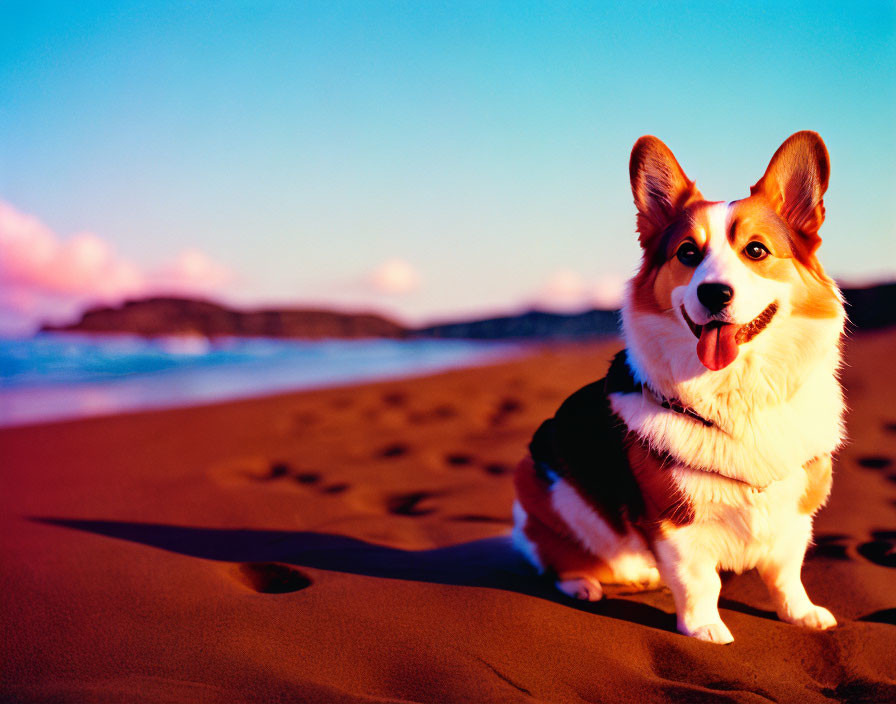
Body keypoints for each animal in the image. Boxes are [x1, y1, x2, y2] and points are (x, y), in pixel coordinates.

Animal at [516, 132, 844, 644]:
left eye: (756, 251)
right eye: (688, 253)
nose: (714, 293)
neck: (738, 393)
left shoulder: (796, 510)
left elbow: (786, 572)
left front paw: (802, 614)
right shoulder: (675, 522)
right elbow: (699, 581)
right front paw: (705, 627)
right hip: (540, 487)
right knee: (553, 556)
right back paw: (583, 584)